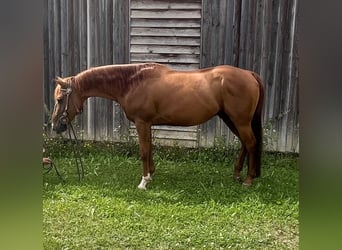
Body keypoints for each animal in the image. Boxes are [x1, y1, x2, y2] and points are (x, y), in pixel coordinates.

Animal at [51, 63, 264, 189]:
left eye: (60, 99)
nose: (55, 126)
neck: (131, 81)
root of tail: (249, 74)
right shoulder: (149, 123)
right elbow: (150, 148)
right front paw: (151, 174)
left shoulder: (142, 122)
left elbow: (144, 151)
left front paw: (144, 181)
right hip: (231, 119)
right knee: (245, 143)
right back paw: (237, 174)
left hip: (240, 120)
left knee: (251, 143)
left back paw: (248, 179)